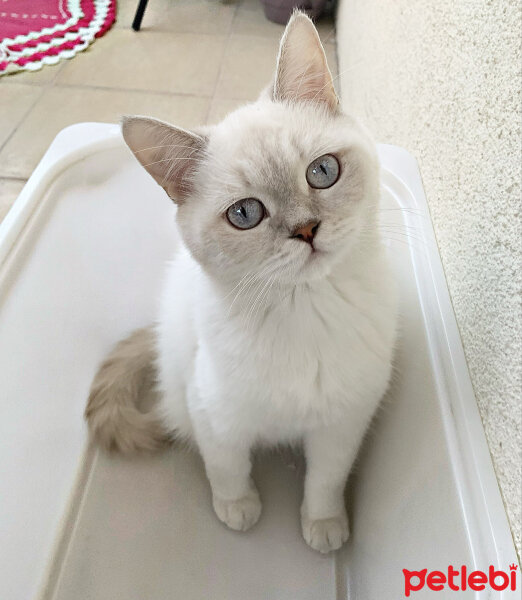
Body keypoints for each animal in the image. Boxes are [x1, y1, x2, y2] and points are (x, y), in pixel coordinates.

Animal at [85, 11, 396, 552]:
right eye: (246, 214)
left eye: (323, 171)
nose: (306, 230)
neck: (305, 309)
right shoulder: (215, 413)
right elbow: (227, 467)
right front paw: (238, 509)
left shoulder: (343, 421)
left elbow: (326, 478)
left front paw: (323, 525)